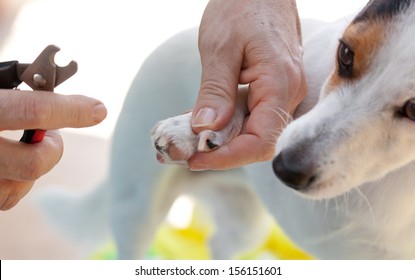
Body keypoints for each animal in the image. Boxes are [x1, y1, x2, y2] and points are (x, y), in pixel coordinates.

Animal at [39, 0, 415, 260]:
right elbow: (249, 92)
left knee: (219, 243)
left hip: (246, 225)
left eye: (413, 108)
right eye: (346, 54)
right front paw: (192, 130)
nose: (284, 168)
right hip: (136, 210)